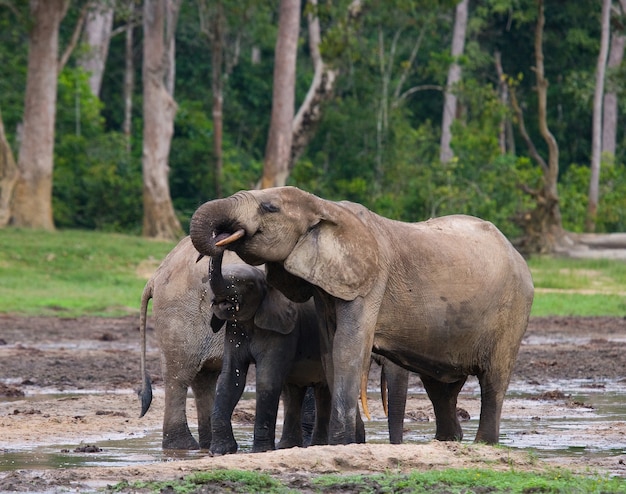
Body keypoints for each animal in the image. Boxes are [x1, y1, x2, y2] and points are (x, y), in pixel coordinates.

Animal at [189, 184, 532, 444]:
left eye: (269, 207)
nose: (223, 237)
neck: (324, 206)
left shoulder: (370, 282)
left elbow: (347, 349)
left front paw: (340, 443)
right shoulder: (327, 288)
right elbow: (330, 352)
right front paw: (349, 442)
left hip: (513, 310)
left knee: (493, 381)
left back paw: (483, 444)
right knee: (440, 388)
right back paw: (447, 442)